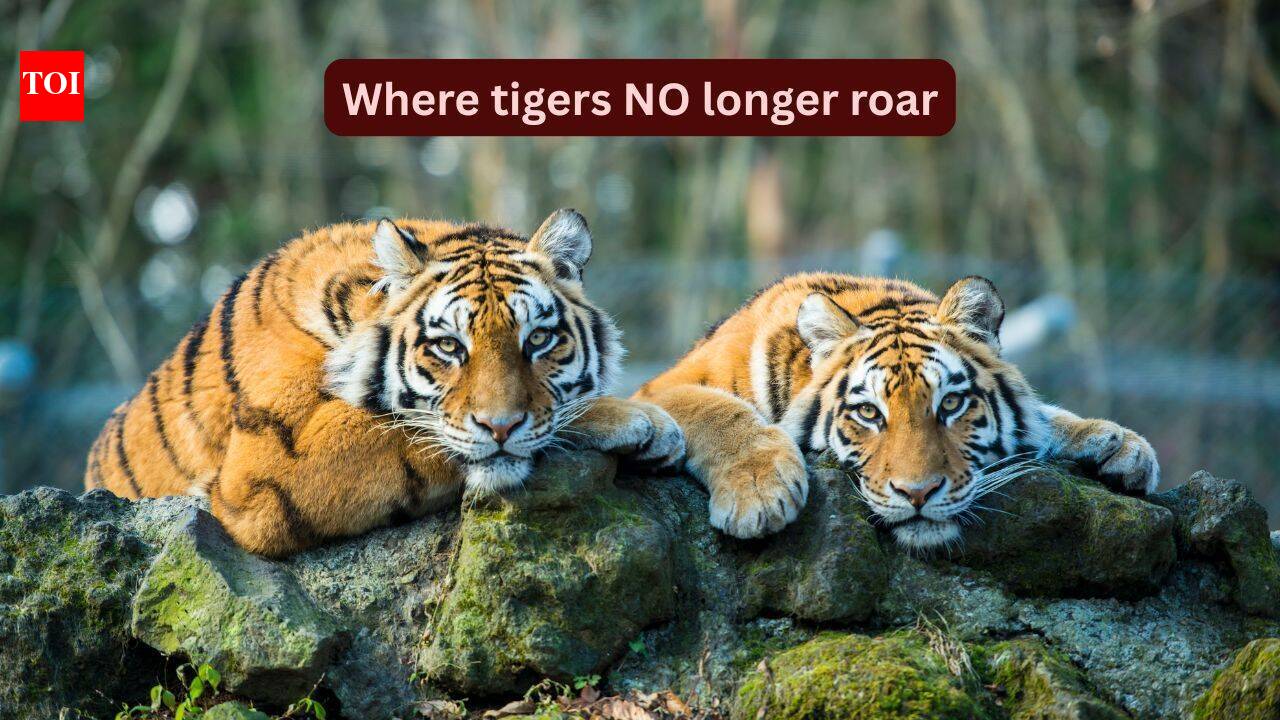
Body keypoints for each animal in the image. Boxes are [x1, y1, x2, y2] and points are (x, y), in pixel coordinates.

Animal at [84, 209, 685, 557]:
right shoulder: (265, 469)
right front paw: (638, 419)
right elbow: (408, 430)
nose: (501, 427)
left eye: (537, 339)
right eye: (450, 346)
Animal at [634, 273, 1158, 550]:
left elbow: (1045, 416)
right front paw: (759, 493)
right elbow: (719, 410)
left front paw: (1120, 444)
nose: (918, 494)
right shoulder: (658, 389)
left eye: (951, 403)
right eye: (868, 413)